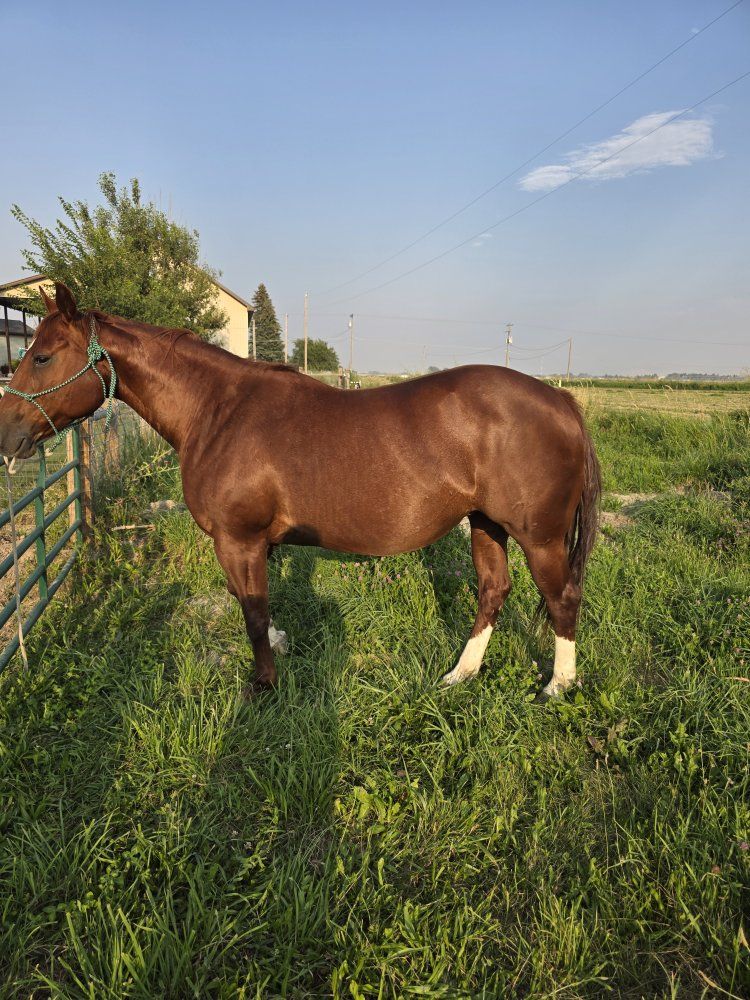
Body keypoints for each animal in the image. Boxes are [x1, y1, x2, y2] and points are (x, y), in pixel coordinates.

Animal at [0, 283, 600, 696]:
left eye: (42, 356)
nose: (7, 432)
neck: (216, 410)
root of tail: (561, 401)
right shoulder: (252, 544)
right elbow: (255, 607)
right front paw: (279, 653)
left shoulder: (237, 540)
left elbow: (252, 612)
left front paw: (263, 685)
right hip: (487, 524)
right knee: (493, 591)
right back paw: (461, 674)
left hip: (539, 536)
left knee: (563, 598)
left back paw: (558, 686)